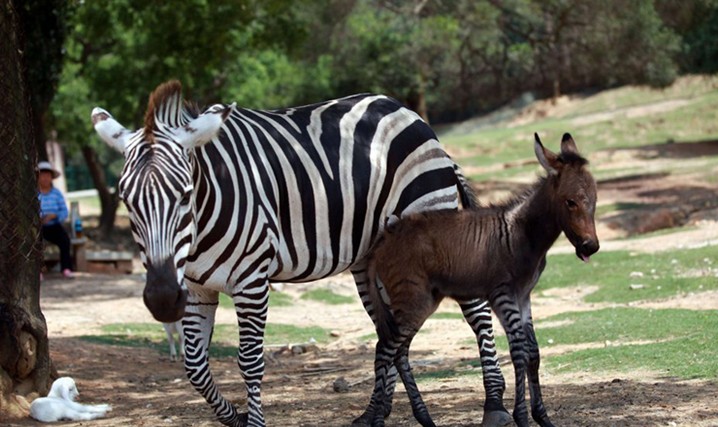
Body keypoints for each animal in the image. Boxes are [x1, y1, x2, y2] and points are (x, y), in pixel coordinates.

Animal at [91, 80, 512, 427]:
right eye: (126, 200)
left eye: (184, 196)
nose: (162, 299)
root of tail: (405, 111)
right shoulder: (195, 287)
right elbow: (195, 366)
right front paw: (234, 418)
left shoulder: (251, 281)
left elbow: (250, 361)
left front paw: (253, 423)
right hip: (372, 258)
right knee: (391, 332)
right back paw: (374, 414)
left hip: (432, 217)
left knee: (475, 311)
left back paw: (494, 406)